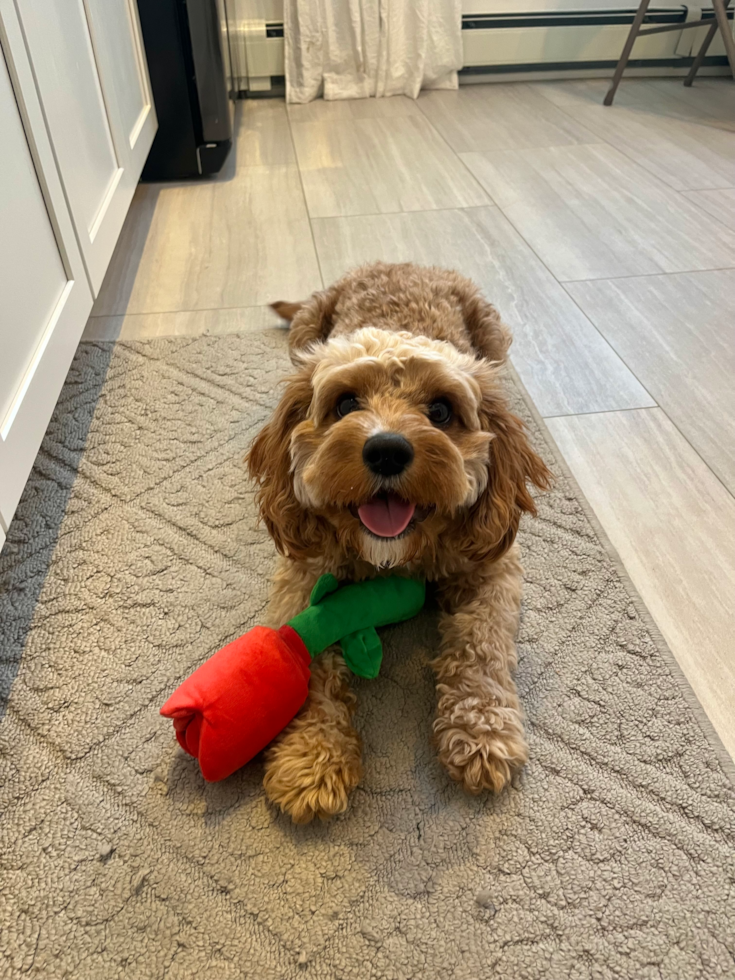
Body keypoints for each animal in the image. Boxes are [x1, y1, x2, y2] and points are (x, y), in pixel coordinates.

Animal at [249, 260, 552, 820]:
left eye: (441, 411)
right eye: (345, 402)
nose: (387, 450)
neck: (398, 554)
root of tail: (399, 263)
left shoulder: (493, 566)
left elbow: (481, 643)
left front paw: (482, 729)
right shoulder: (303, 575)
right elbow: (306, 654)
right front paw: (312, 755)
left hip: (494, 332)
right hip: (305, 330)